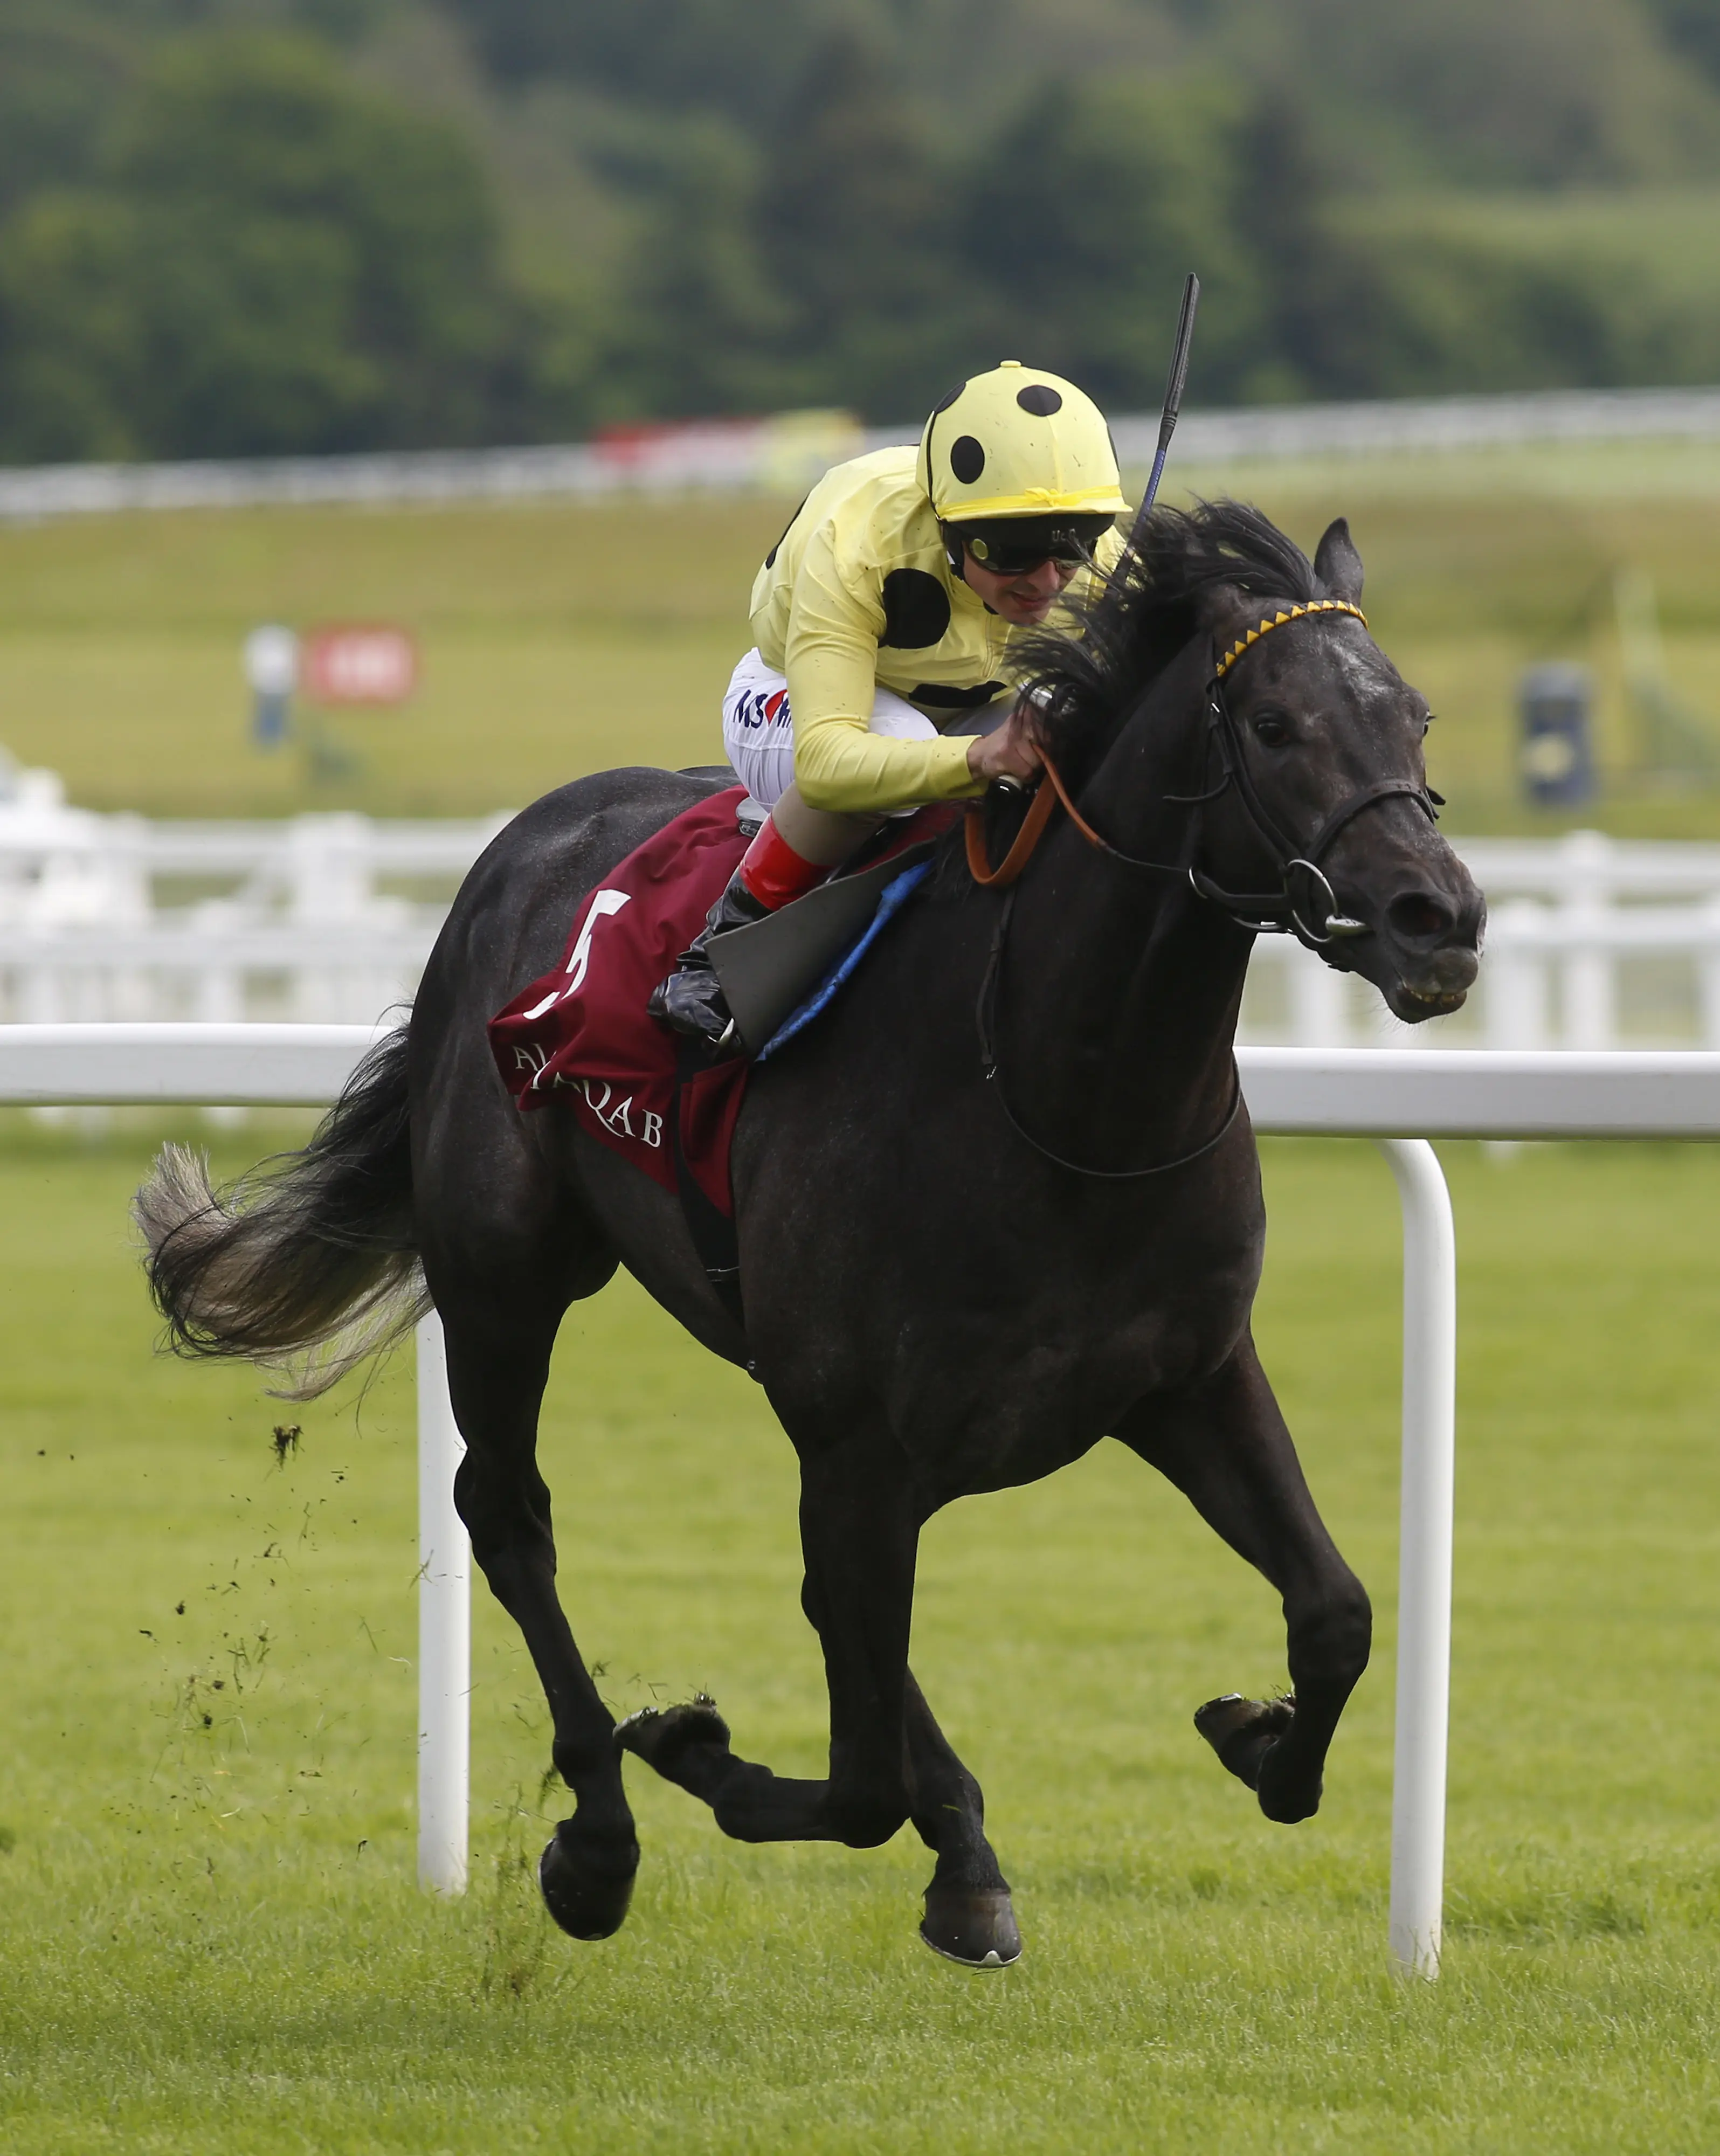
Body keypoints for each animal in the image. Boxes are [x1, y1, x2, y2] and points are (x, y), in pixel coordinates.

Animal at [136, 501, 1484, 1970]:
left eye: (1413, 716)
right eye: (1276, 727)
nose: (1437, 916)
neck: (1055, 1093)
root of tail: (515, 849)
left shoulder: (1179, 1376)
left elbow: (1335, 1611)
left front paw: (1254, 1739)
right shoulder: (857, 1442)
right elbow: (854, 1780)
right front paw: (686, 1747)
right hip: (504, 1271)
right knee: (508, 1512)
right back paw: (600, 1840)